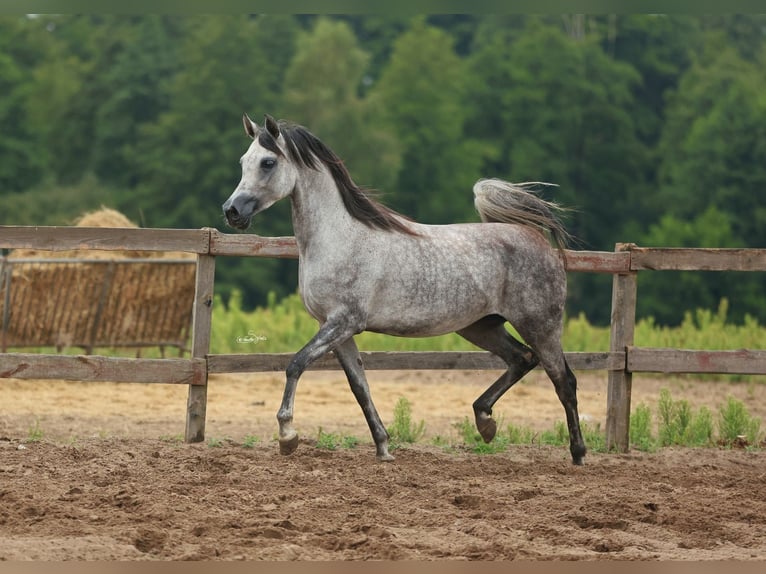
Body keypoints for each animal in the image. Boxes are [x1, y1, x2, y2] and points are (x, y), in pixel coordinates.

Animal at [222, 115, 588, 466]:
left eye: (268, 162)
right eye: (242, 161)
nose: (232, 211)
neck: (339, 238)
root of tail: (535, 238)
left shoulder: (343, 322)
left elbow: (295, 364)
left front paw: (287, 437)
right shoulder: (335, 328)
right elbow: (359, 386)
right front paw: (384, 447)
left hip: (540, 325)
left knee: (563, 380)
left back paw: (578, 454)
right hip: (480, 326)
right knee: (521, 359)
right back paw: (485, 422)